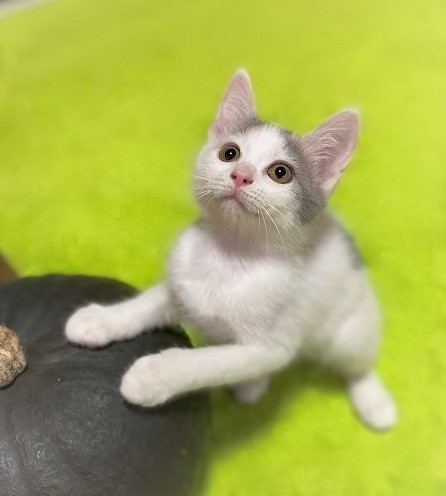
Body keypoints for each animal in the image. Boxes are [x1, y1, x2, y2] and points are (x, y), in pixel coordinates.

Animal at [65, 70, 397, 430]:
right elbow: (148, 302)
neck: (229, 251)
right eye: (230, 153)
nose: (240, 175)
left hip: (350, 331)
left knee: (357, 364)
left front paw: (151, 377)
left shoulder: (268, 347)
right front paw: (101, 320)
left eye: (281, 173)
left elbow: (207, 363)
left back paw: (373, 401)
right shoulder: (182, 283)